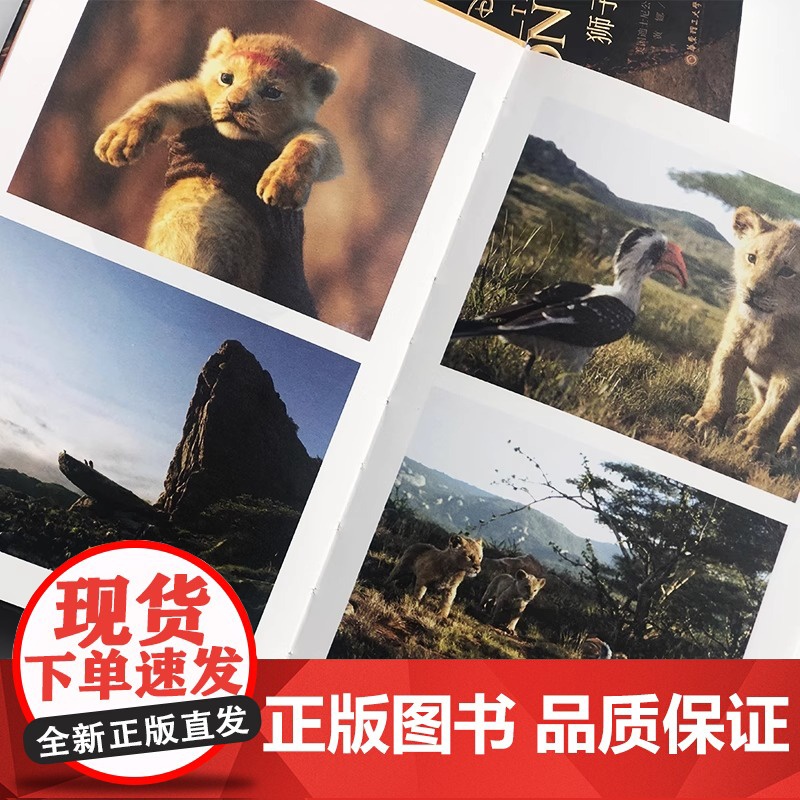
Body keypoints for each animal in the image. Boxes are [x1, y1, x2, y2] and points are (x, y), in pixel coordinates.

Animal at [94, 28, 341, 301]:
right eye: (226, 78)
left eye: (272, 92)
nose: (235, 103)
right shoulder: (196, 106)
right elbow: (160, 99)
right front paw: (120, 138)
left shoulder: (318, 140)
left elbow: (308, 145)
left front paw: (282, 184)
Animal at [683, 206, 800, 457]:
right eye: (751, 258)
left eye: (787, 272)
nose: (752, 291)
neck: (767, 325)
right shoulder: (731, 347)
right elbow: (721, 388)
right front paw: (704, 423)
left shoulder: (794, 372)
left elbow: (777, 410)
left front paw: (755, 444)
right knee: (760, 399)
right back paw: (743, 418)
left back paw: (788, 447)